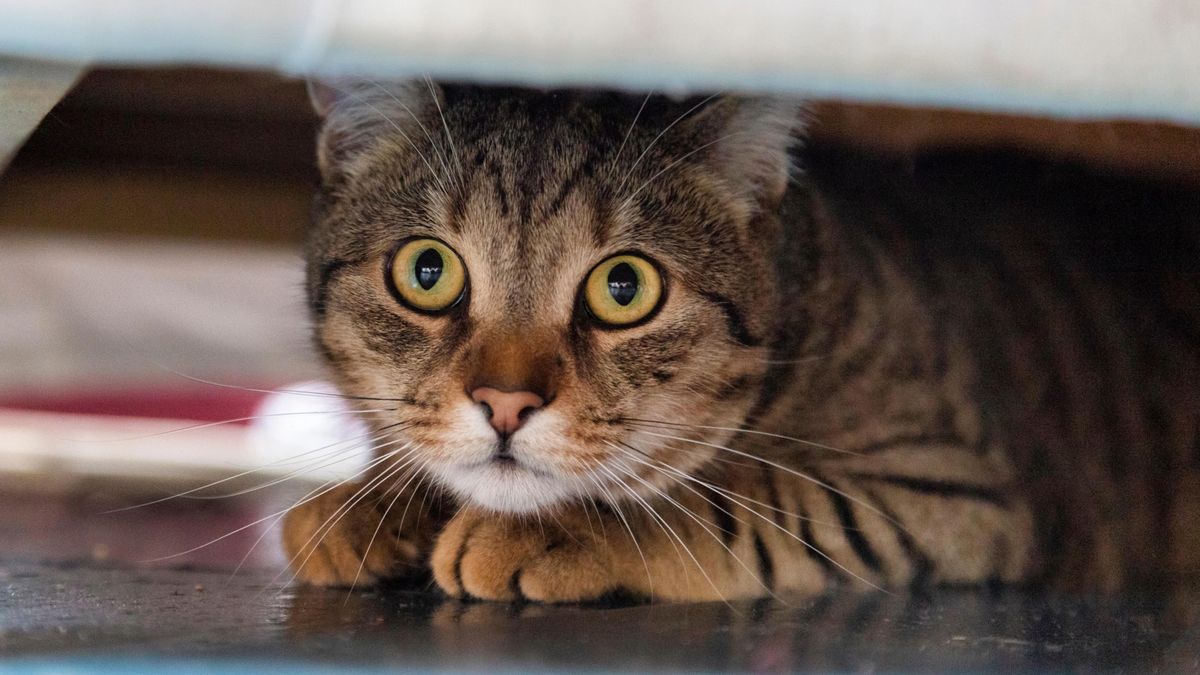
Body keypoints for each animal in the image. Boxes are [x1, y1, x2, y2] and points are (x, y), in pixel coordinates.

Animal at [278, 81, 1200, 600]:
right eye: (427, 271)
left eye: (624, 288)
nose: (505, 402)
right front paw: (371, 503)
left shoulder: (955, 487)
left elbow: (743, 499)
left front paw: (567, 527)